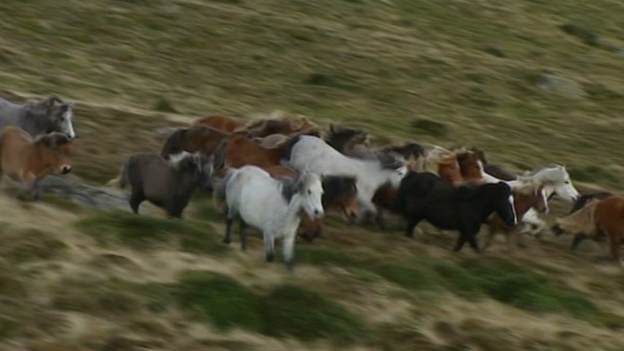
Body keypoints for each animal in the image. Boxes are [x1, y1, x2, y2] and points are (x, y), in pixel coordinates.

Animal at [280, 135, 408, 231]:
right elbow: (373, 210)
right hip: (295, 165)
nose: (401, 188)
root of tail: (300, 138)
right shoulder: (362, 196)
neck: (372, 173)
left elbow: (364, 210)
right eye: (400, 173)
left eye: (405, 173)